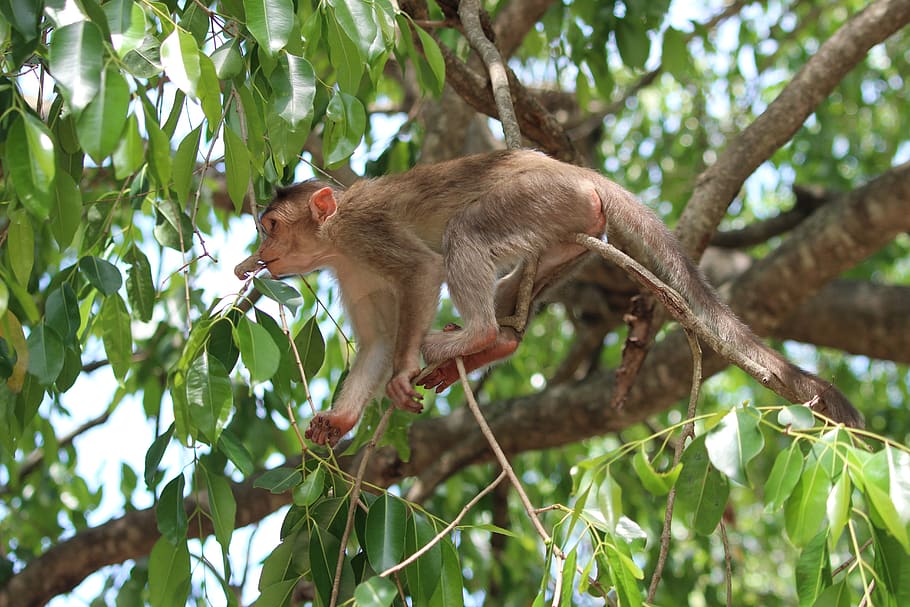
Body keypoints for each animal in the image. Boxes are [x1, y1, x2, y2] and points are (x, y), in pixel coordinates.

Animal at [235, 149, 862, 446]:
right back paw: (497, 345)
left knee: (467, 231)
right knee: (513, 282)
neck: (336, 240)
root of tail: (572, 169)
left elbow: (422, 270)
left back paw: (476, 337)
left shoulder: (367, 233)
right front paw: (339, 420)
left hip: (537, 197)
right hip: (563, 229)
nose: (255, 252)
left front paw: (404, 369)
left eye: (271, 226)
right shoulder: (351, 271)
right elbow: (378, 340)